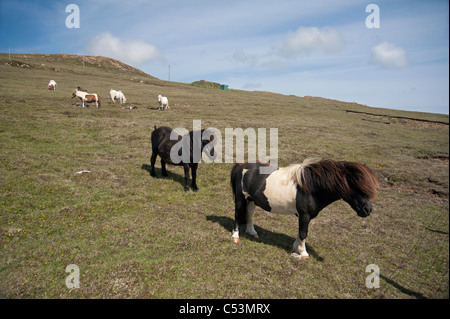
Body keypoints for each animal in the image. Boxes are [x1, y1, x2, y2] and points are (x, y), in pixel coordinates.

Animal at [230, 159, 378, 258]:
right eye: (355, 185)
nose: (367, 210)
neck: (312, 187)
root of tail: (241, 165)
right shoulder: (304, 214)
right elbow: (303, 233)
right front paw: (303, 253)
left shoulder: (304, 216)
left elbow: (300, 232)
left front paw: (296, 248)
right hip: (240, 198)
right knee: (237, 214)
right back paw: (236, 236)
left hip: (251, 199)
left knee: (249, 214)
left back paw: (252, 231)